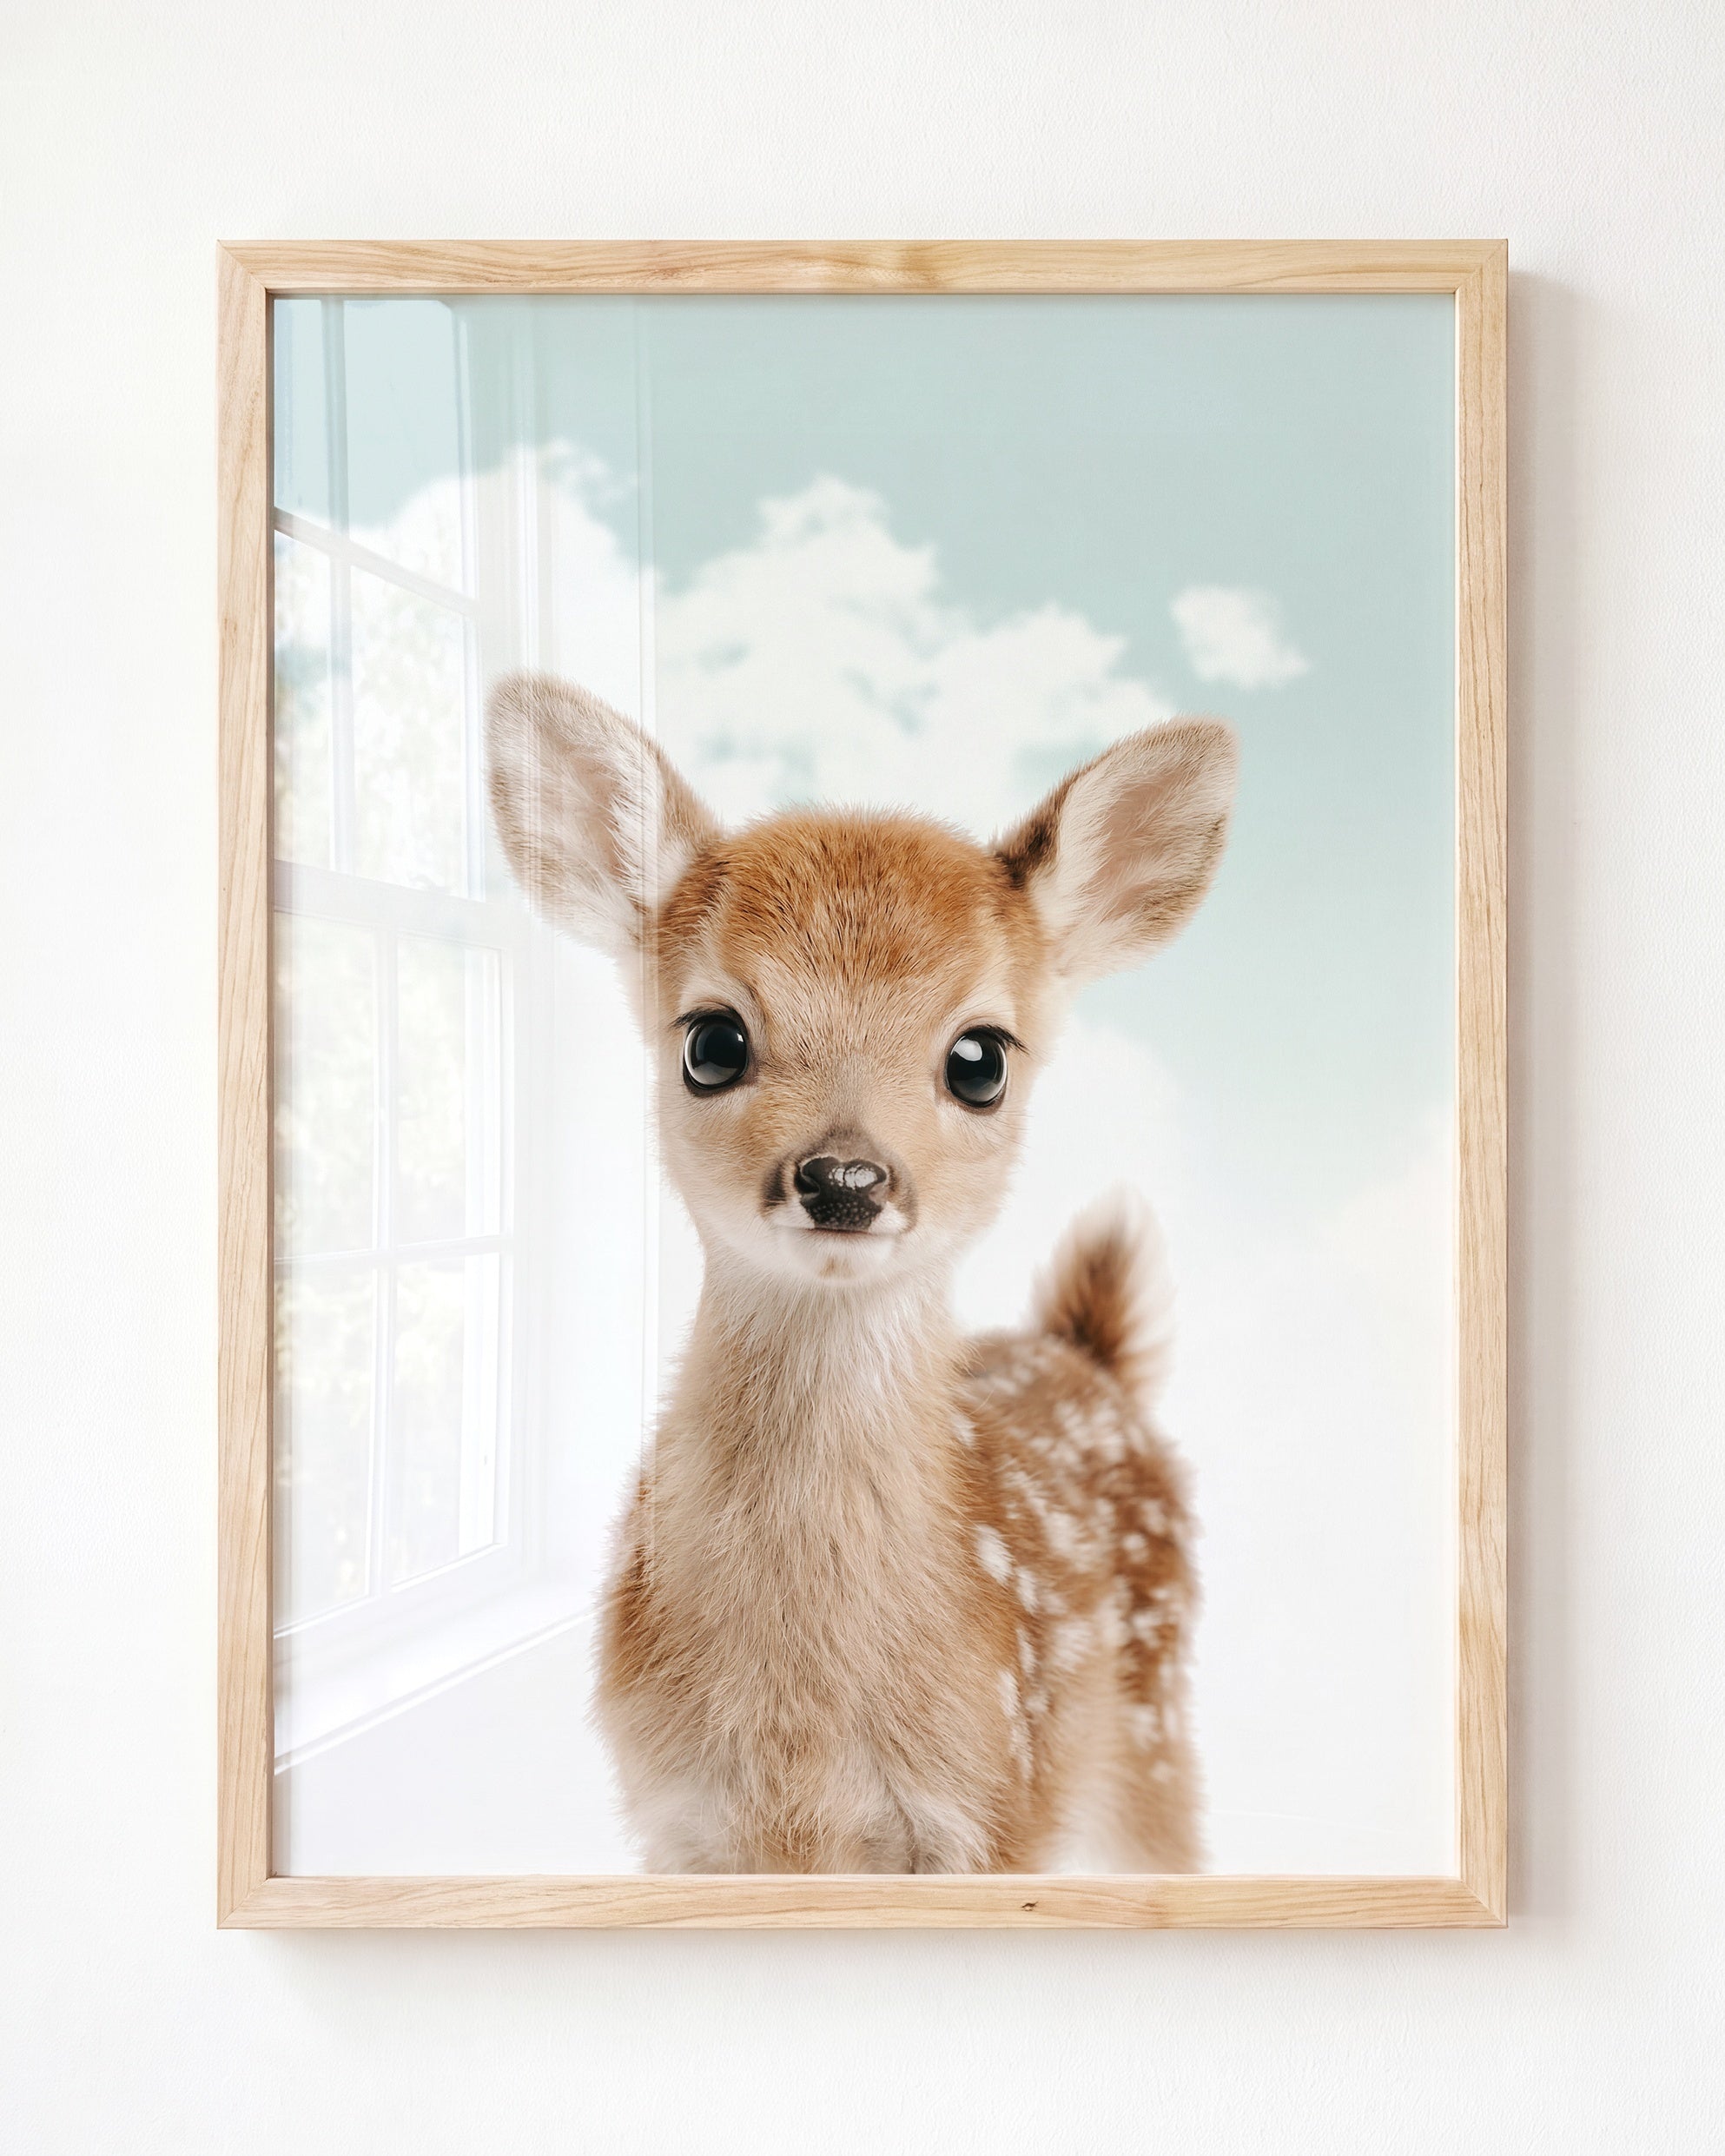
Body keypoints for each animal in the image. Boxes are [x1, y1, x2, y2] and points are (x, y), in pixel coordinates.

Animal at [487, 670, 1237, 1874]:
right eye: (711, 1041)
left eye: (980, 1058)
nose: (843, 1177)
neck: (801, 1741)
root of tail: (1088, 1354)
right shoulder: (677, 1821)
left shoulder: (992, 1807)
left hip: (1150, 1735)